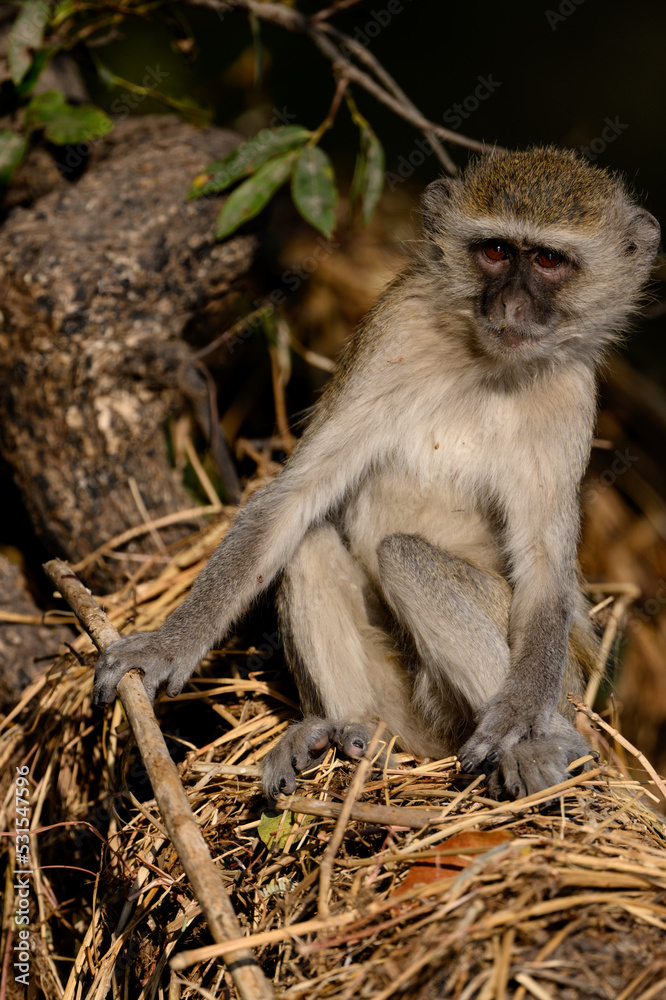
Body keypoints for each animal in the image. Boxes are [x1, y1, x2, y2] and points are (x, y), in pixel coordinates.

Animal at [93, 146, 660, 803]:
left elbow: (545, 571)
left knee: (406, 558)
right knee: (310, 543)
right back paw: (347, 730)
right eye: (495, 251)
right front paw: (168, 645)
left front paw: (522, 721)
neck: (488, 365)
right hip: (409, 715)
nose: (512, 308)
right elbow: (293, 500)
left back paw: (548, 745)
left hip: (548, 691)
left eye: (548, 260)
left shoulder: (570, 391)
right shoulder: (395, 327)